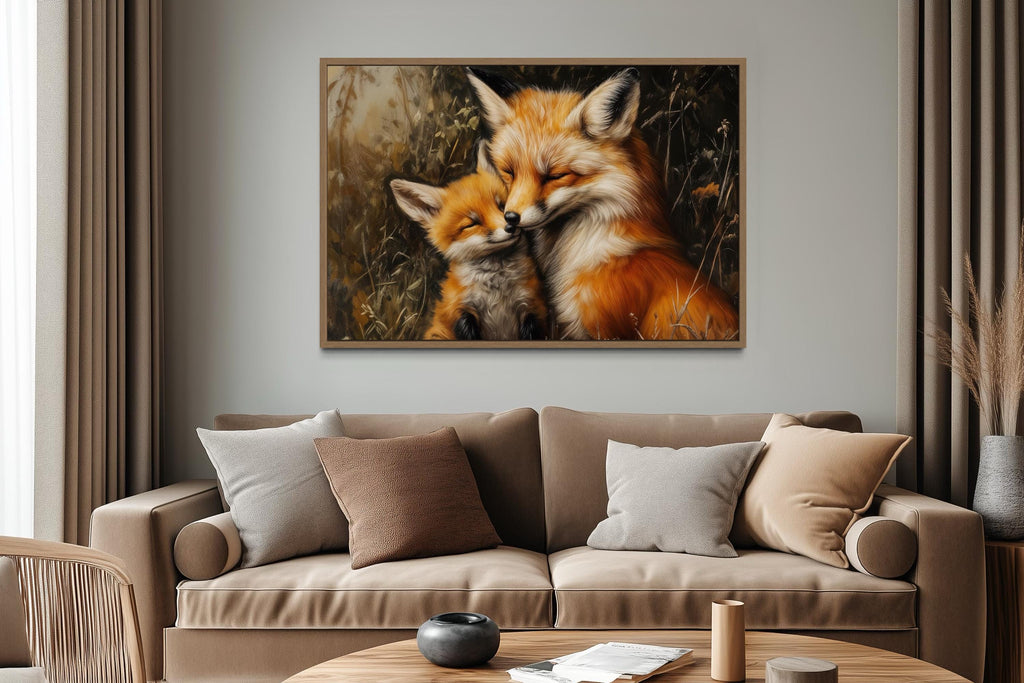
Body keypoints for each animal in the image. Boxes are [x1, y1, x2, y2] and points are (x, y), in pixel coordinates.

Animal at [390, 155, 547, 342]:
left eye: (502, 206)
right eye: (471, 223)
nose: (510, 226)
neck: (496, 290)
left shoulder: (532, 306)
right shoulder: (461, 312)